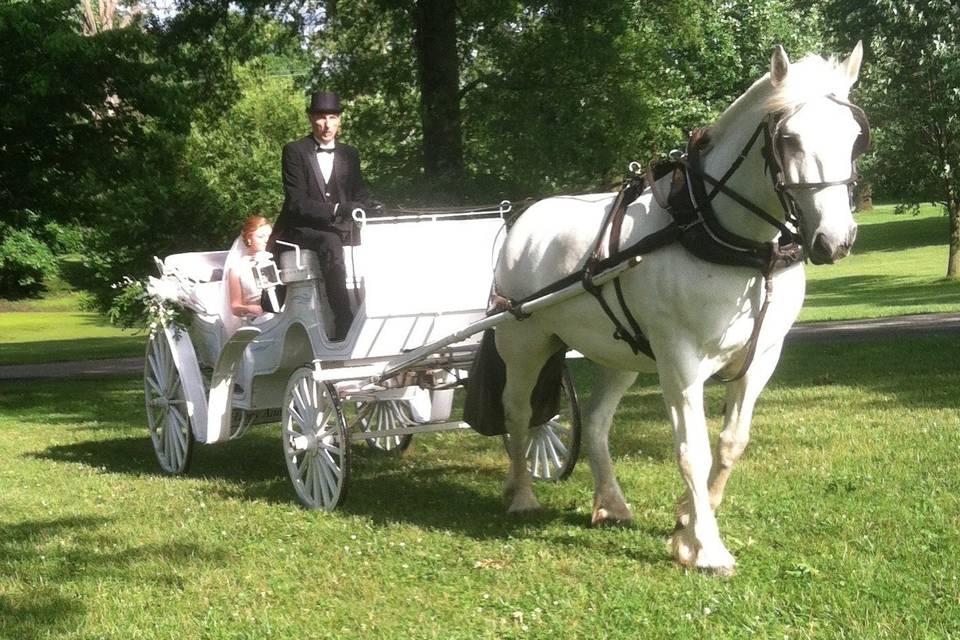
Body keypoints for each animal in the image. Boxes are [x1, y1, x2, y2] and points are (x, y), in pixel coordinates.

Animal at [496, 45, 872, 576]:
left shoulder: (761, 358)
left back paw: (610, 502)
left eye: (855, 139)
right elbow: (692, 450)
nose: (834, 241)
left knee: (596, 422)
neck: (716, 231)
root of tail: (523, 217)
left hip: (620, 354)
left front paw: (687, 522)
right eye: (790, 139)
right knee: (518, 411)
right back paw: (521, 494)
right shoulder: (680, 361)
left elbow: (731, 442)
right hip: (523, 343)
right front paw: (706, 547)